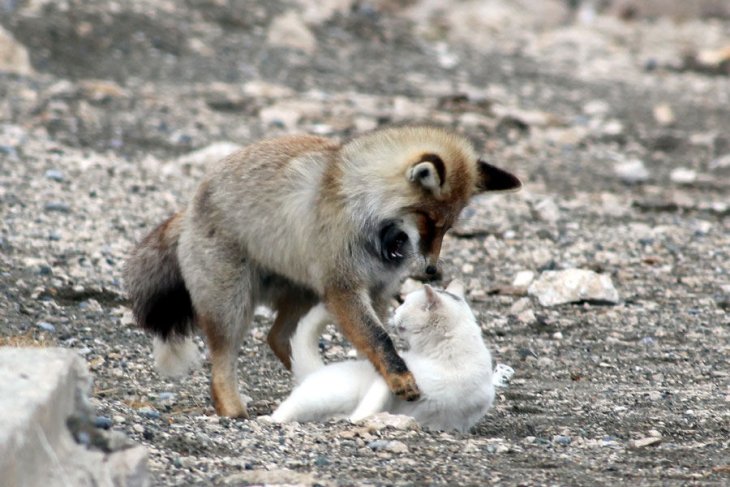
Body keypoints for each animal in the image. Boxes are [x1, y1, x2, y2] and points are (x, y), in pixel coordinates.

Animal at [123, 126, 521, 418]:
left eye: (448, 228)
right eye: (429, 221)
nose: (432, 270)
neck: (371, 221)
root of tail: (190, 206)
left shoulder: (376, 291)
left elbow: (374, 342)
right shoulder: (344, 287)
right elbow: (380, 339)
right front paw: (398, 378)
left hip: (307, 293)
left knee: (278, 337)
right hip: (233, 307)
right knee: (223, 365)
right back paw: (234, 410)